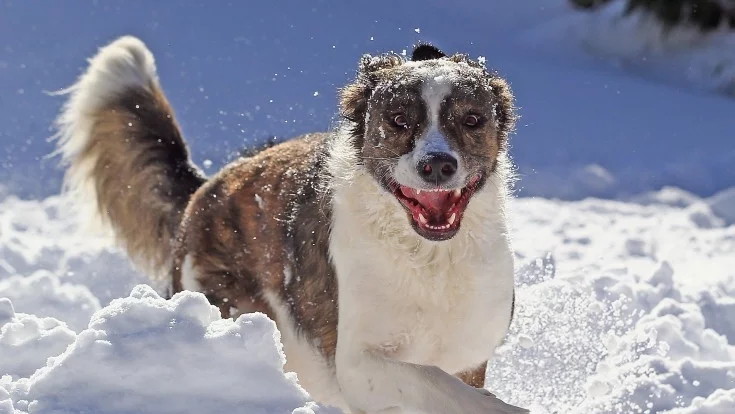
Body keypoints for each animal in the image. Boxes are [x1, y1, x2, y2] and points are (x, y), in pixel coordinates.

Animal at [56, 36, 528, 414]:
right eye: (398, 120)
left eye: (472, 120)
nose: (437, 165)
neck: (429, 256)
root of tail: (205, 189)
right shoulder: (357, 364)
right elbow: (431, 382)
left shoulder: (469, 353)